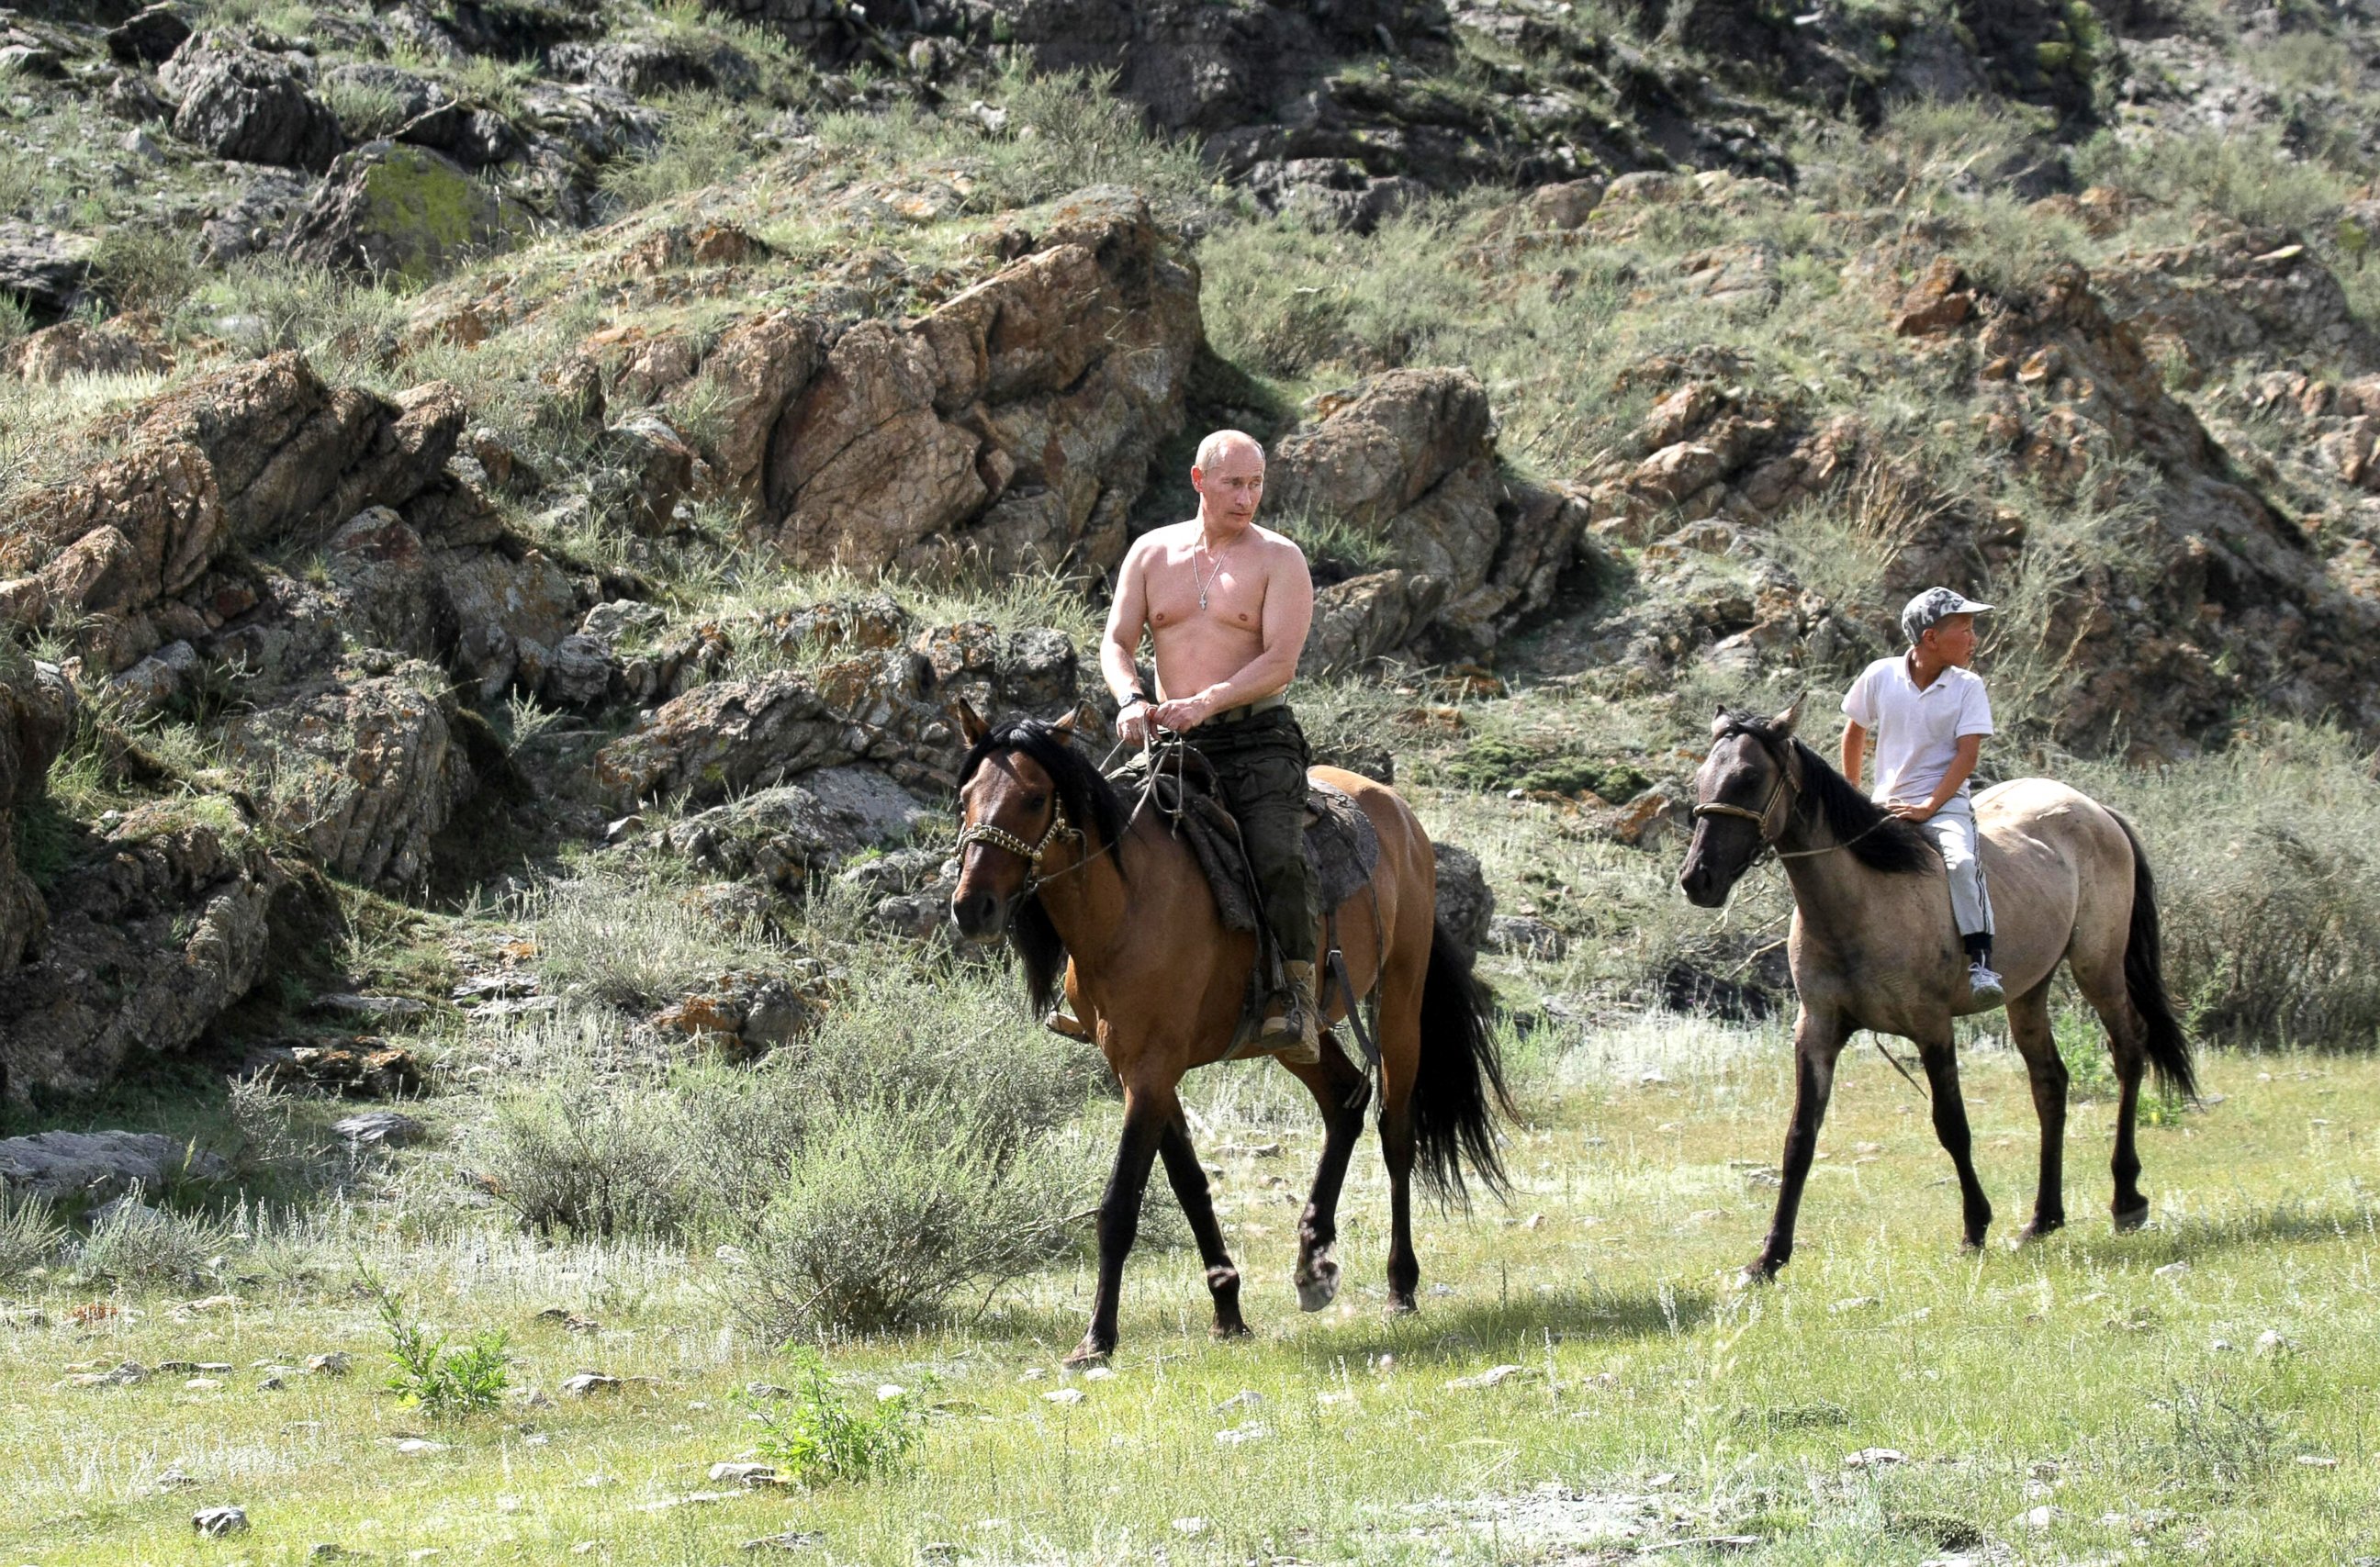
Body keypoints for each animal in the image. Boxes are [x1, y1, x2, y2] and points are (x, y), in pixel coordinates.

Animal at [947, 703, 1504, 1370]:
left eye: (1034, 798)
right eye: (964, 799)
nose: (971, 908)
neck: (1126, 906)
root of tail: (1402, 814)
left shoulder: (1151, 1069)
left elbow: (1120, 1204)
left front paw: (1097, 1338)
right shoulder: (1137, 1070)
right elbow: (1189, 1185)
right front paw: (1228, 1310)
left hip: (1399, 995)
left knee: (1396, 1131)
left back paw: (1400, 1286)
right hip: (1295, 1036)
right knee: (1345, 1100)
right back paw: (1313, 1262)